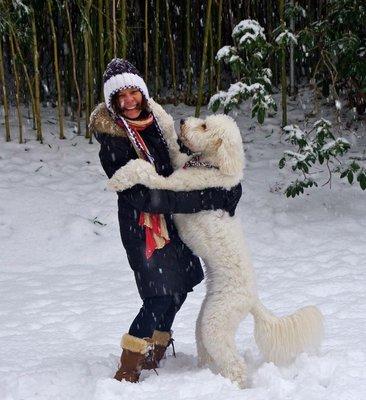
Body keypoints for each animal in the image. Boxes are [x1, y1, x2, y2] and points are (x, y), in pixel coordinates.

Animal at [106, 100, 324, 388]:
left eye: (205, 126)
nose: (184, 121)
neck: (213, 166)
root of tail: (253, 299)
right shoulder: (178, 162)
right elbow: (172, 146)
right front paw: (157, 110)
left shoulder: (173, 186)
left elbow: (147, 172)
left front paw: (119, 177)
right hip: (206, 320)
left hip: (216, 323)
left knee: (235, 365)